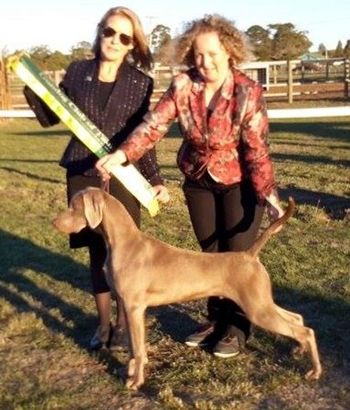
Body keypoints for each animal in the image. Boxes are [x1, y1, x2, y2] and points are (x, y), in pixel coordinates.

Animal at [52, 187, 322, 390]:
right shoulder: (128, 307)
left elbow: (138, 348)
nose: (54, 222)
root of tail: (249, 254)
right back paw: (298, 350)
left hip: (257, 308)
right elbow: (133, 348)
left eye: (74, 206)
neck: (123, 242)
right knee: (297, 319)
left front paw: (136, 382)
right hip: (262, 301)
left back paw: (315, 371)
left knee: (305, 330)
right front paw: (129, 372)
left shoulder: (134, 307)